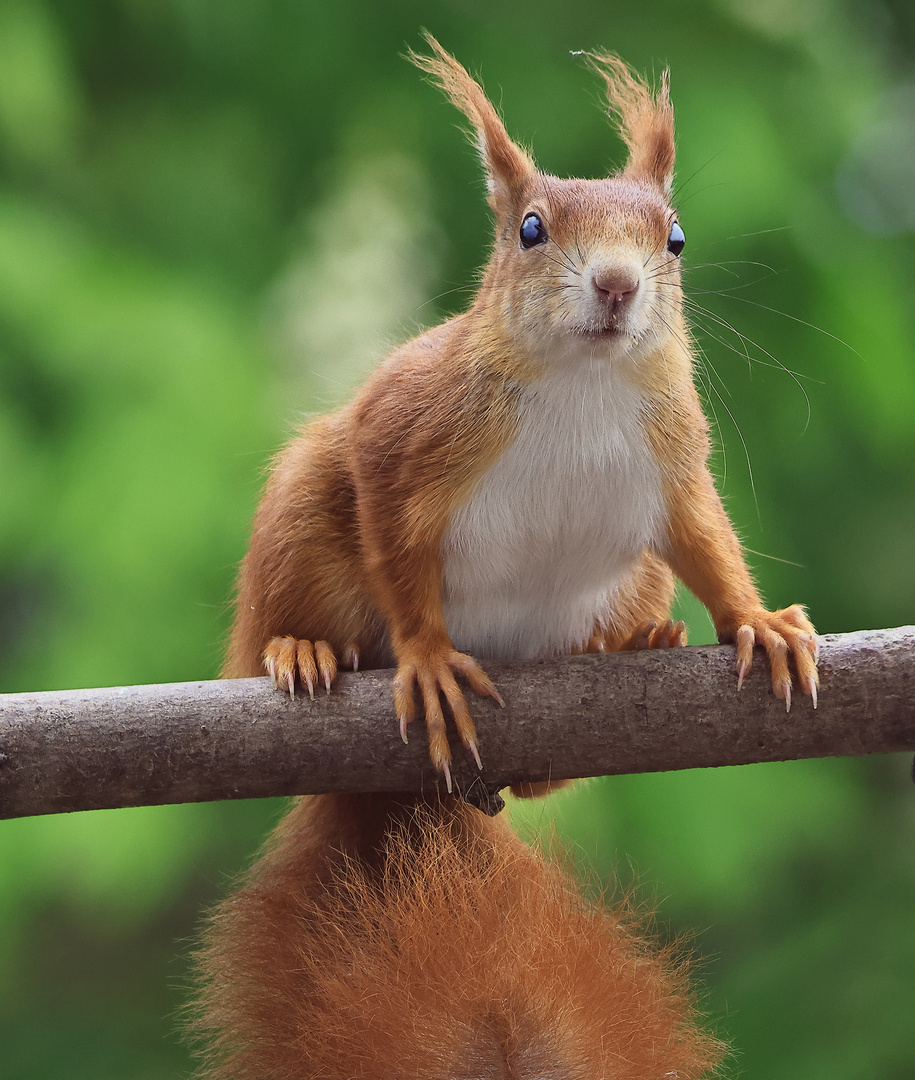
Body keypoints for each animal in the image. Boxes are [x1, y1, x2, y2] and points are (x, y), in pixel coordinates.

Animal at [223, 29, 821, 781]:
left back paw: (633, 643)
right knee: (281, 623)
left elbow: (704, 538)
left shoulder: (674, 455)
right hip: (298, 526)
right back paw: (299, 648)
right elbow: (396, 548)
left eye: (676, 239)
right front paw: (427, 659)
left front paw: (758, 621)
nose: (617, 283)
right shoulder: (400, 431)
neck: (582, 383)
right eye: (530, 230)